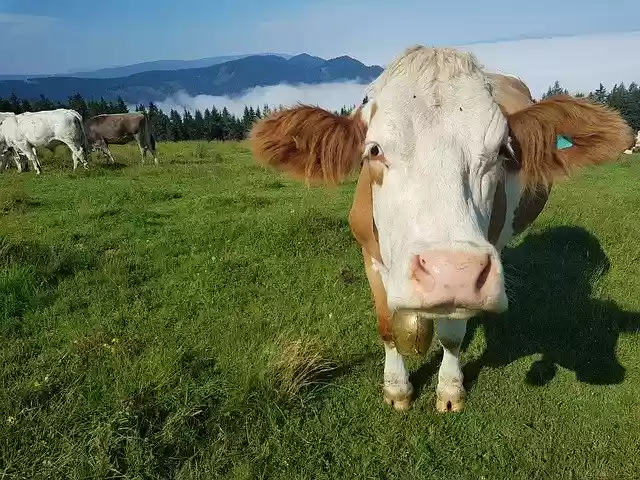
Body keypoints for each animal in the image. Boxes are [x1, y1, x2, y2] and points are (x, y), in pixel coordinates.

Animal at [248, 46, 633, 413]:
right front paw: (396, 389)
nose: (452, 272)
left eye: (502, 152)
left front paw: (450, 390)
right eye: (374, 150)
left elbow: (451, 336)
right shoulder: (369, 256)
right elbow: (386, 326)